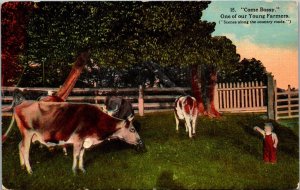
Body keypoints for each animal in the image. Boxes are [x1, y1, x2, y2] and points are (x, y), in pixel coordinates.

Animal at [11, 101, 144, 174]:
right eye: (132, 129)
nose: (140, 141)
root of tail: (19, 105)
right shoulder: (78, 139)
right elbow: (75, 155)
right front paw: (74, 171)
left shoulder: (85, 140)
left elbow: (81, 155)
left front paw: (82, 169)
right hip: (28, 133)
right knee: (25, 150)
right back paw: (29, 170)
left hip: (29, 136)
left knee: (19, 145)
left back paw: (22, 166)